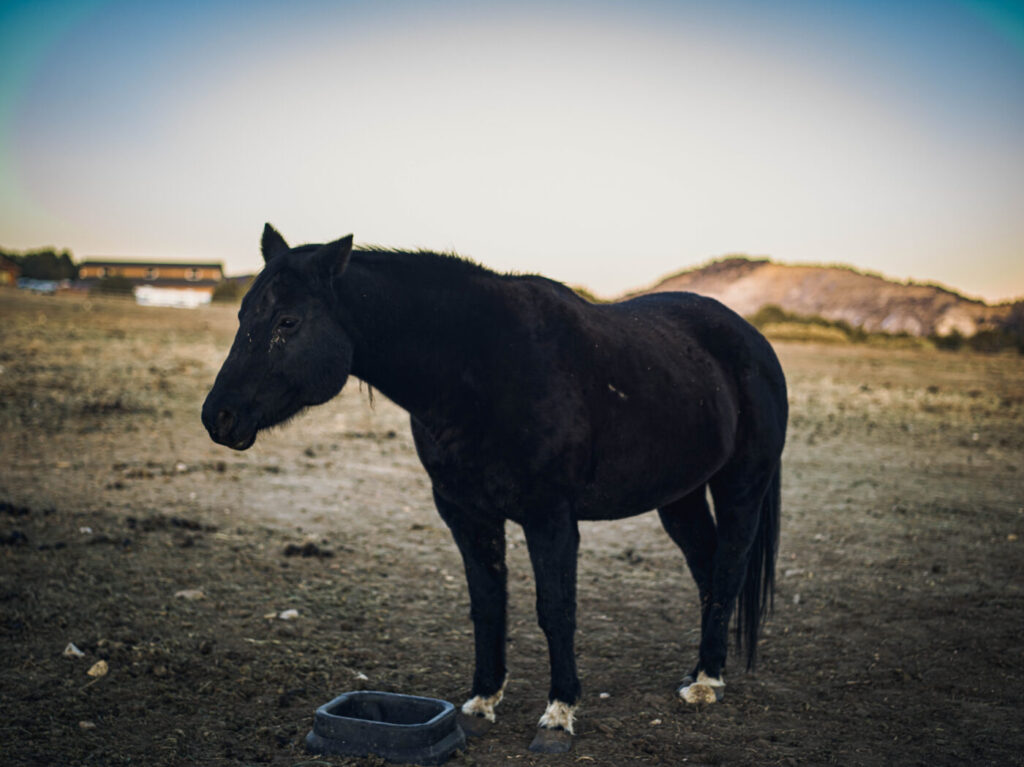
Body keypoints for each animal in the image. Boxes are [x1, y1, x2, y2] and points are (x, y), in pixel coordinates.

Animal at [201, 224, 790, 749]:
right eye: (242, 315)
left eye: (288, 321)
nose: (218, 417)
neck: (481, 367)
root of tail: (752, 340)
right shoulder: (466, 512)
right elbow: (486, 603)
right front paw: (482, 702)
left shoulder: (550, 516)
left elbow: (555, 609)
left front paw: (559, 714)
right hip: (681, 497)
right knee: (708, 570)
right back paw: (701, 672)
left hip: (741, 487)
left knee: (729, 567)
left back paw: (708, 682)